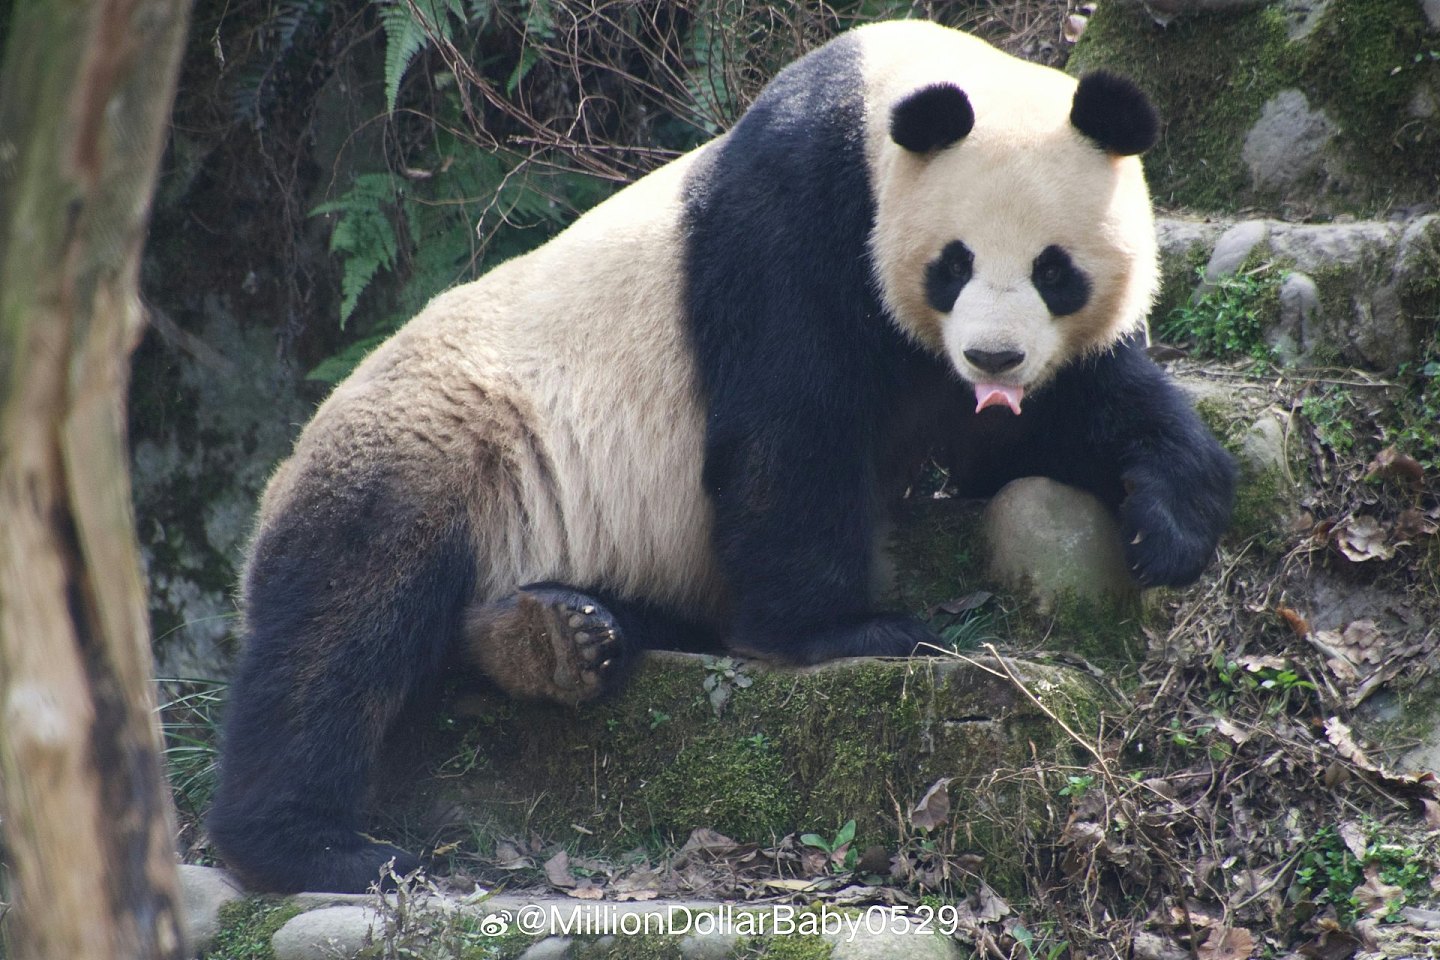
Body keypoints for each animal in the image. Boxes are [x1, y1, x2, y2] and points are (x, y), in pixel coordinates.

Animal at [205, 20, 1238, 892]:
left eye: (1055, 270)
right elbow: (789, 429)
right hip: (442, 445)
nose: (993, 357)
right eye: (955, 261)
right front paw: (851, 632)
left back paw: (555, 639)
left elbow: (1074, 411)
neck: (880, 99)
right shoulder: (792, 227)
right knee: (341, 625)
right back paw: (316, 846)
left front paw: (1169, 526)